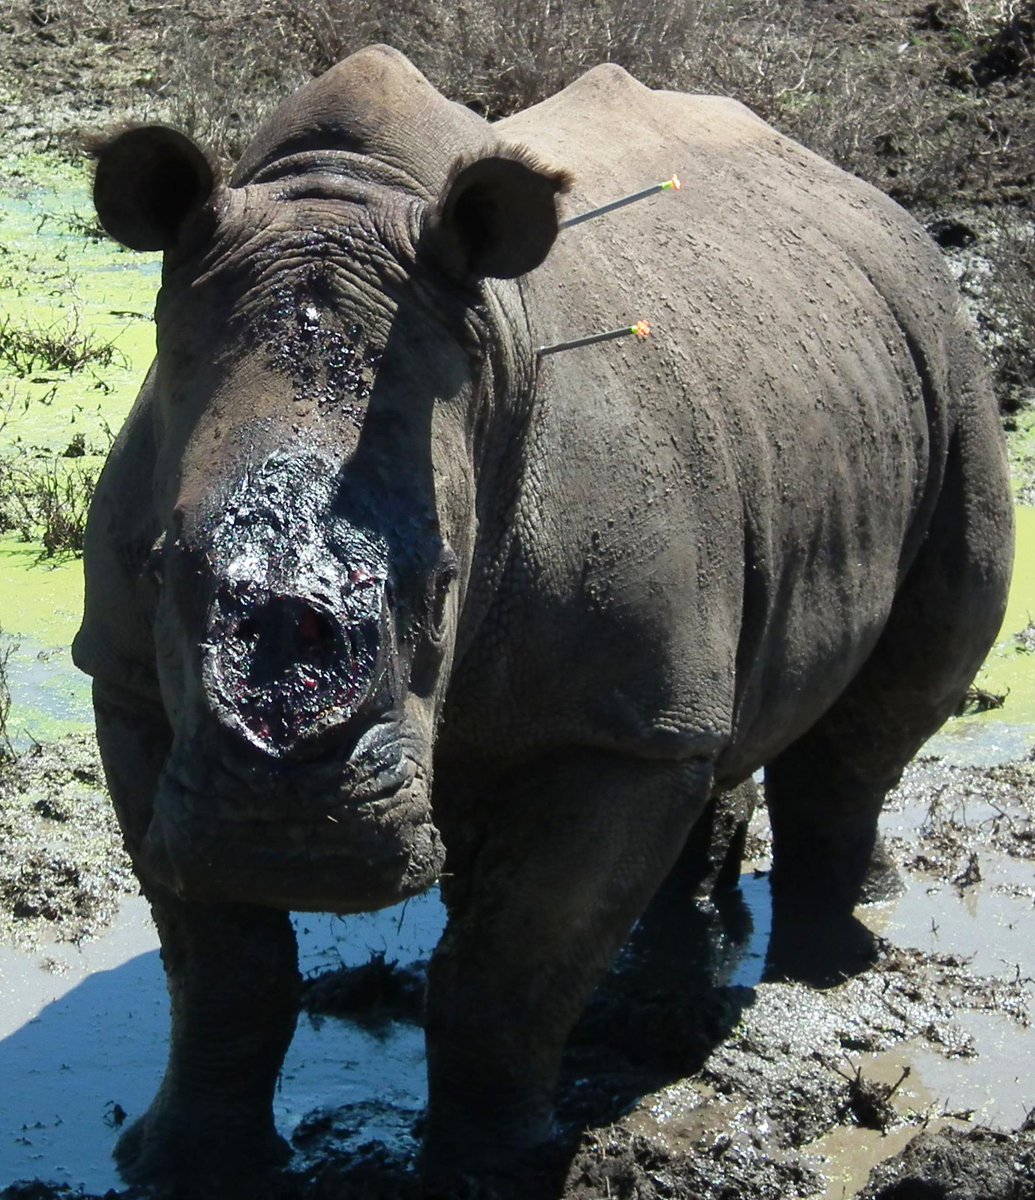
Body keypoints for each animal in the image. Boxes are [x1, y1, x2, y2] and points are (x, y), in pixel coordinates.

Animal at [75, 44, 1012, 1197]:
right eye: (162, 567)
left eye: (443, 582)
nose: (285, 838)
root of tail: (873, 203)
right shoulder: (129, 685)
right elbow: (220, 964)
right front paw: (179, 1167)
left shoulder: (606, 732)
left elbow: (507, 969)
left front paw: (493, 1174)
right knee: (717, 719)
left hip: (949, 371)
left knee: (879, 711)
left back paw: (822, 972)